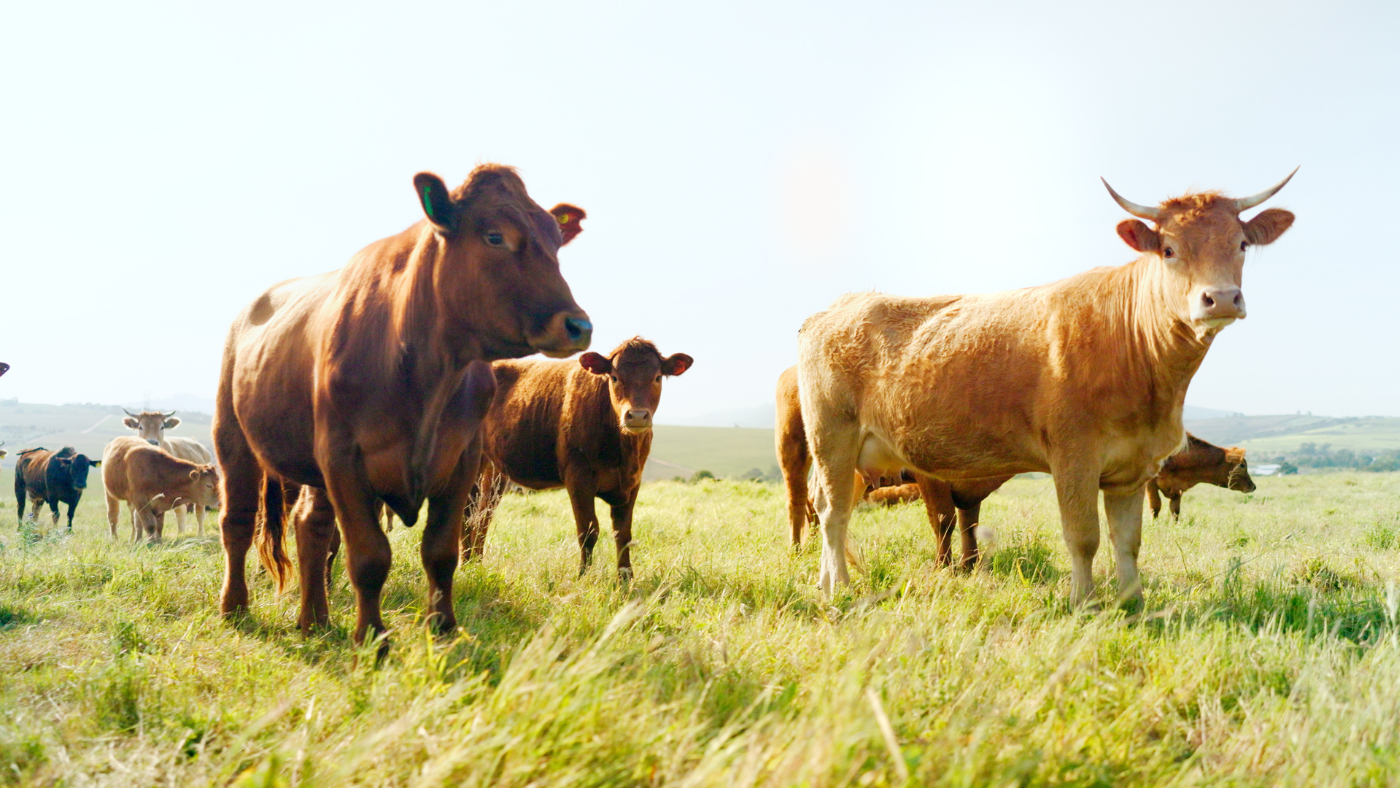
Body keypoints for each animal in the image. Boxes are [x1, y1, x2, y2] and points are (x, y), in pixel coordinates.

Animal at [215, 164, 592, 647]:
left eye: (556, 241)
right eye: (494, 236)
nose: (578, 325)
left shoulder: (462, 459)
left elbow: (441, 552)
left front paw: (444, 628)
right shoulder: (343, 457)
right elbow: (369, 556)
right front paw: (372, 640)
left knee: (310, 524)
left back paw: (314, 619)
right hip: (233, 437)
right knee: (238, 521)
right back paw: (235, 608)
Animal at [461, 338, 693, 578]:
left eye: (657, 377)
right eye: (615, 377)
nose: (637, 415)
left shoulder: (632, 482)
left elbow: (623, 533)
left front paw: (625, 578)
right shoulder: (578, 478)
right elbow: (588, 530)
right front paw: (583, 576)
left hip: (495, 469)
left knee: (484, 514)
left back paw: (476, 564)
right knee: (468, 513)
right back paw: (466, 565)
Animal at [777, 365, 1010, 568]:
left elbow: (969, 525)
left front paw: (969, 566)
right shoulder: (931, 480)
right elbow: (944, 520)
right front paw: (942, 566)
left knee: (816, 506)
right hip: (792, 449)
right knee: (796, 504)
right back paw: (796, 552)